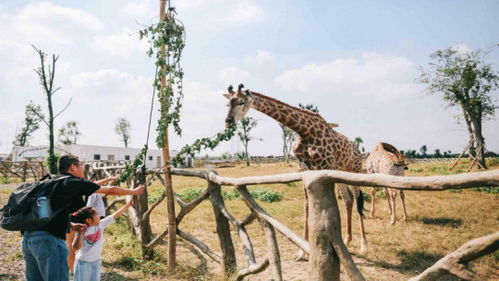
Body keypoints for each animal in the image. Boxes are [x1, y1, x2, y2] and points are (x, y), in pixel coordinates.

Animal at [223, 83, 368, 254]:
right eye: (228, 104)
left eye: (241, 102)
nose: (228, 121)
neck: (305, 131)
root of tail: (356, 148)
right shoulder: (304, 170)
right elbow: (307, 207)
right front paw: (302, 251)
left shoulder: (326, 167)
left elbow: (328, 209)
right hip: (340, 173)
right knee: (348, 199)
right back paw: (347, 239)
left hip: (354, 170)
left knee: (358, 199)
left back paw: (363, 245)